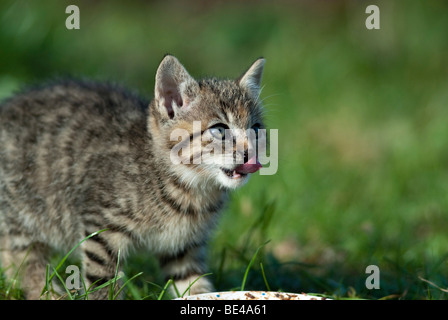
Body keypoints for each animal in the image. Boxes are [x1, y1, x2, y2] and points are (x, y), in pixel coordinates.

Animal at [0, 55, 266, 300]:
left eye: (255, 129)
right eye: (219, 129)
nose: (250, 153)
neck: (189, 188)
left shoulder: (184, 247)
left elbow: (192, 284)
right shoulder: (101, 224)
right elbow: (102, 279)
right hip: (20, 211)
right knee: (20, 258)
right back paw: (46, 292)